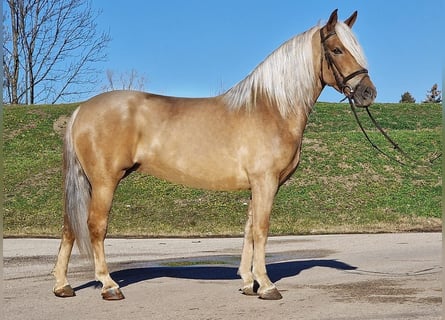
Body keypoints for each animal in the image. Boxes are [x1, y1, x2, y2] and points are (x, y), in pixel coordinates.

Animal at [53, 9, 376, 300]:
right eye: (337, 49)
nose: (368, 93)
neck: (271, 108)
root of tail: (82, 110)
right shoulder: (266, 181)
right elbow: (261, 229)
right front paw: (266, 285)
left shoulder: (257, 186)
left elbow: (248, 229)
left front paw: (248, 282)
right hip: (104, 181)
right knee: (95, 226)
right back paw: (108, 285)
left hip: (87, 182)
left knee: (69, 227)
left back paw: (62, 285)